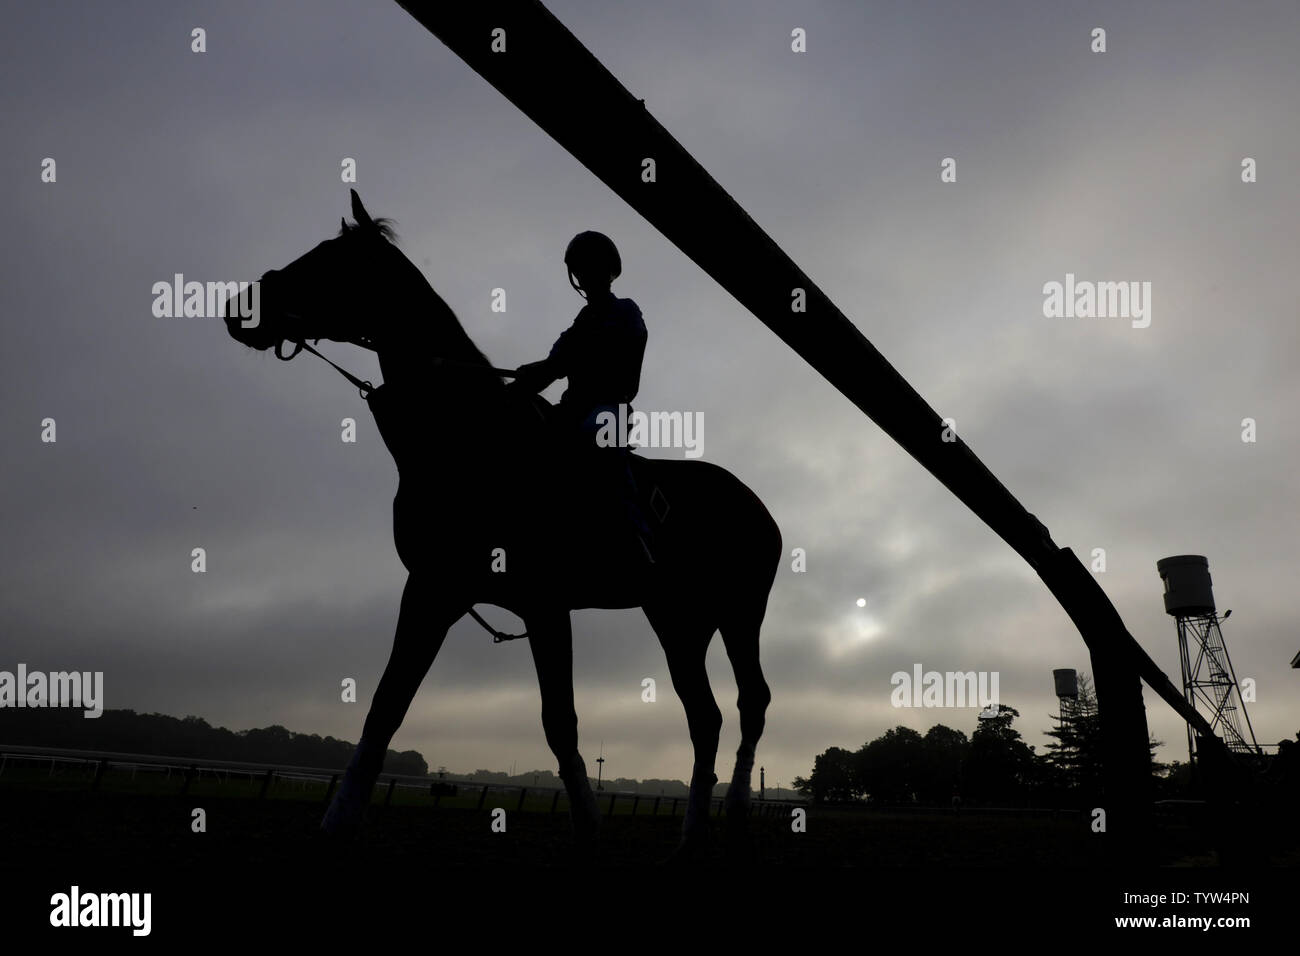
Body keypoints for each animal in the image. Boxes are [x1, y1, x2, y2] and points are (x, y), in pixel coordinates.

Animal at [223, 191, 780, 858]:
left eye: (330, 261)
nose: (239, 308)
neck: (473, 443)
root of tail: (757, 506)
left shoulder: (544, 603)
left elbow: (560, 721)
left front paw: (590, 826)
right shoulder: (433, 588)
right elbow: (387, 703)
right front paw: (337, 820)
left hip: (739, 613)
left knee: (750, 703)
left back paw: (736, 811)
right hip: (677, 620)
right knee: (706, 715)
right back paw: (694, 828)